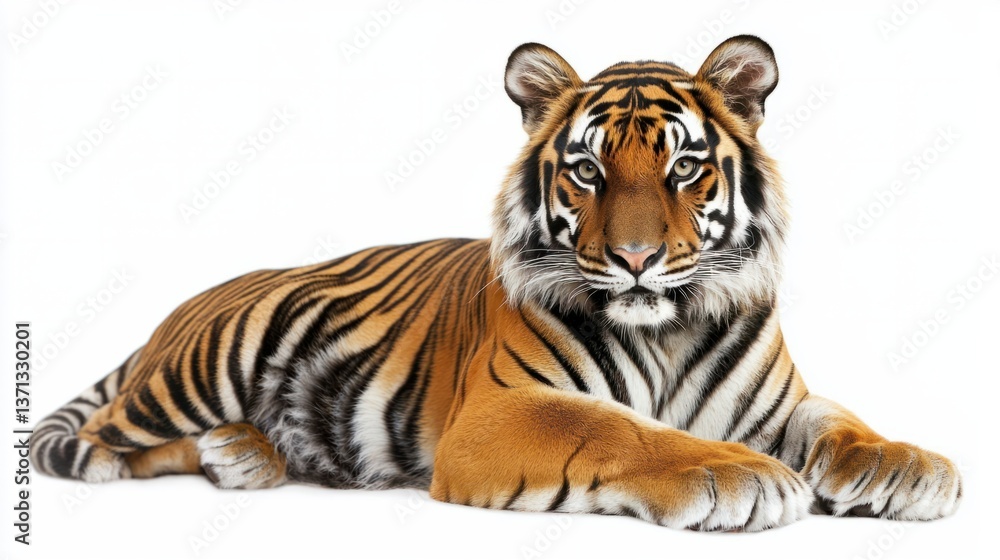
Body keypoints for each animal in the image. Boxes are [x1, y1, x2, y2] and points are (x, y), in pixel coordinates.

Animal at [32, 35, 961, 531]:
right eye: (587, 171)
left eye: (684, 168)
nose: (635, 258)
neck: (667, 326)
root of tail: (176, 311)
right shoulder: (500, 412)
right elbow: (621, 429)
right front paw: (741, 476)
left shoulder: (777, 403)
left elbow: (839, 420)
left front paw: (910, 466)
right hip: (205, 367)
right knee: (112, 437)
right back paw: (217, 454)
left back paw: (251, 453)